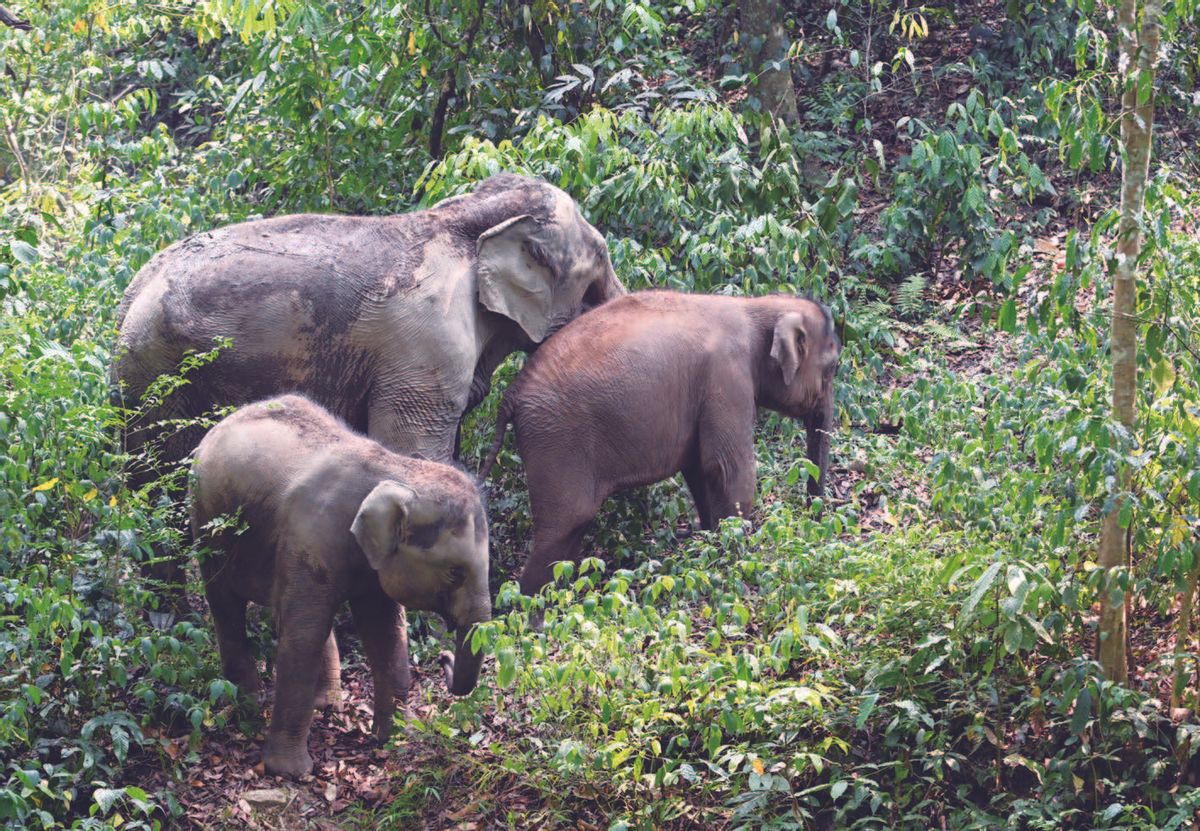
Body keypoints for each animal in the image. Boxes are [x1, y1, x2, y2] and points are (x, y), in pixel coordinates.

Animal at [112, 174, 628, 696]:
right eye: (601, 259)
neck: (466, 216)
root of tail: (130, 295)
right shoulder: (427, 347)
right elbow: (414, 450)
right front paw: (423, 627)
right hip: (158, 376)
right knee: (160, 485)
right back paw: (174, 622)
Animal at [189, 393, 489, 778]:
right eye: (455, 572)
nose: (444, 657)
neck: (397, 470)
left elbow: (385, 633)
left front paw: (396, 740)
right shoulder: (312, 536)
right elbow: (304, 637)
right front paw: (290, 772)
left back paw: (326, 704)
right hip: (206, 519)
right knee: (227, 604)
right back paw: (250, 706)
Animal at [482, 290, 840, 598]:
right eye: (833, 367)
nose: (813, 517)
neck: (755, 306)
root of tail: (512, 393)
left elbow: (699, 470)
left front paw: (710, 547)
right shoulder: (727, 377)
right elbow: (727, 468)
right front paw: (739, 562)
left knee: (570, 533)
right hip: (556, 440)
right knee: (562, 526)